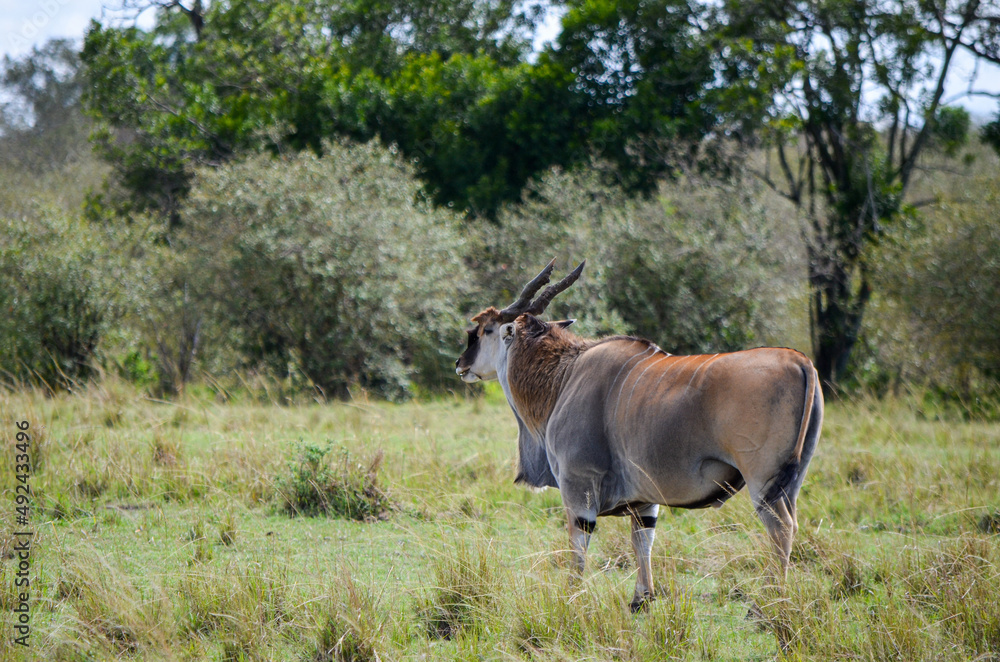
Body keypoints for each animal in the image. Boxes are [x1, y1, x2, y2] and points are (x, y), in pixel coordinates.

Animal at [456, 261, 823, 612]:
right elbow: (642, 541)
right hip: (791, 481)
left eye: (484, 330)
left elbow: (579, 545)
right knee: (790, 525)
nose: (460, 364)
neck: (565, 376)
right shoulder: (645, 499)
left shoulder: (578, 486)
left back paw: (768, 604)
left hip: (763, 482)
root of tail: (800, 360)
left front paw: (572, 598)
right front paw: (641, 600)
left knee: (781, 528)